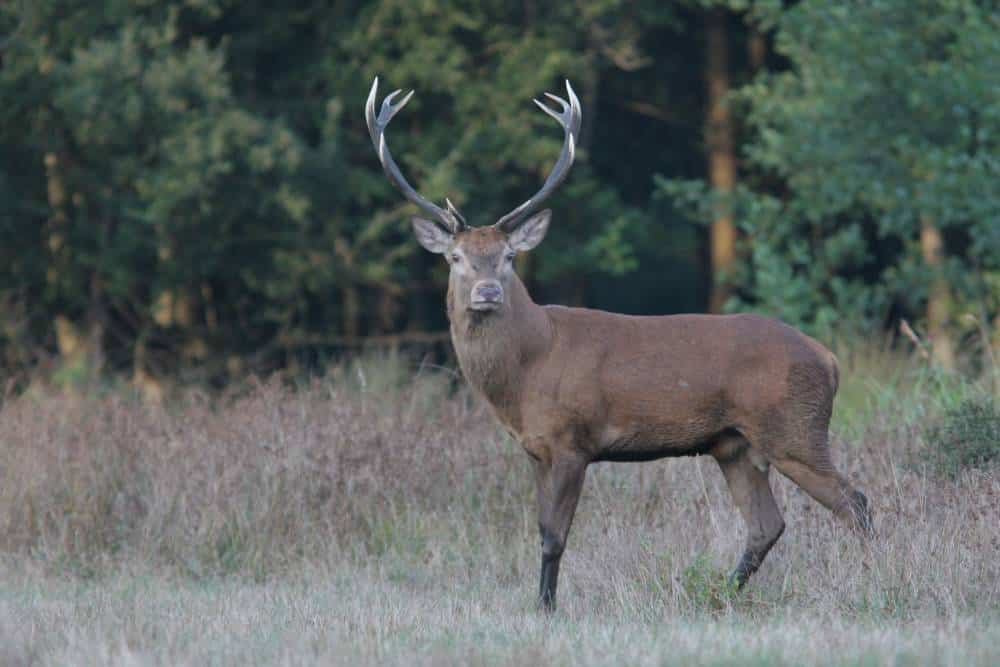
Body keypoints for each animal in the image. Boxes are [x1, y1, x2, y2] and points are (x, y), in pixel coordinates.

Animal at [365, 77, 873, 611]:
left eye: (508, 256)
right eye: (456, 257)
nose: (487, 292)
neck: (527, 371)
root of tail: (829, 360)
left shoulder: (573, 439)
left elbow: (555, 537)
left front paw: (547, 608)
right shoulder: (536, 449)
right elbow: (540, 530)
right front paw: (541, 604)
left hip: (795, 430)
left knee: (854, 502)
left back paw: (870, 579)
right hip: (734, 444)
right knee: (767, 524)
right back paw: (719, 594)